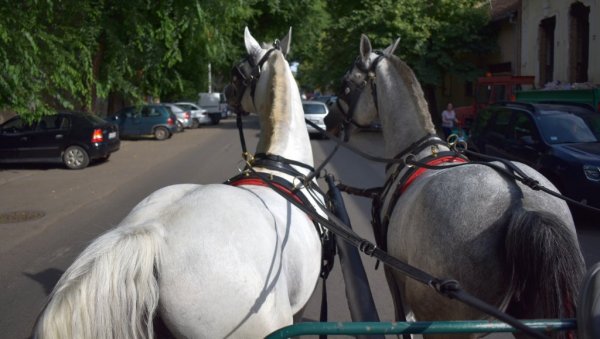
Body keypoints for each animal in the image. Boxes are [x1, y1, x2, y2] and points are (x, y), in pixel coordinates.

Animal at [330, 34, 584, 338]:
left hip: (447, 322)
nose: (328, 120)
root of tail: (521, 203)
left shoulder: (396, 280)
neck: (418, 151)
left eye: (345, 84)